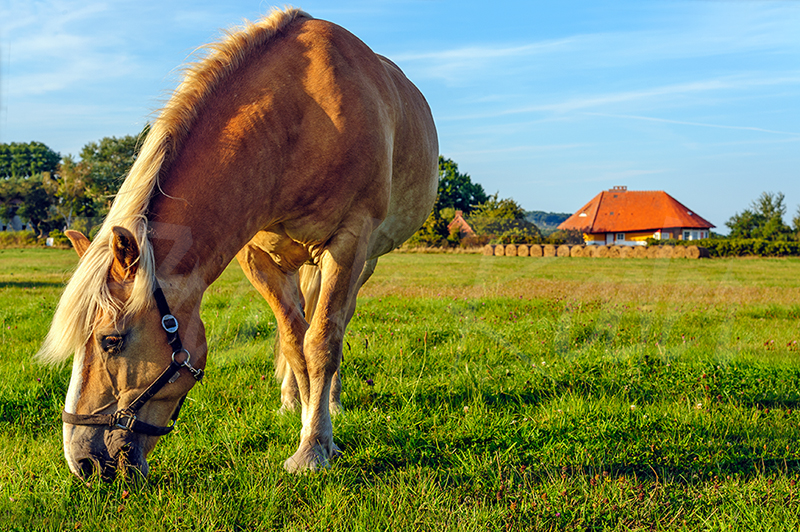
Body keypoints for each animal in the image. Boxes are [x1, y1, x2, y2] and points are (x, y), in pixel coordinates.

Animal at [37, 7, 438, 482]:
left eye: (110, 341)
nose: (82, 461)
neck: (299, 117)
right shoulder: (256, 255)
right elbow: (294, 342)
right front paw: (303, 416)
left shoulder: (350, 242)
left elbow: (322, 342)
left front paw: (314, 447)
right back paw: (294, 400)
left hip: (362, 262)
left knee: (336, 322)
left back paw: (331, 401)